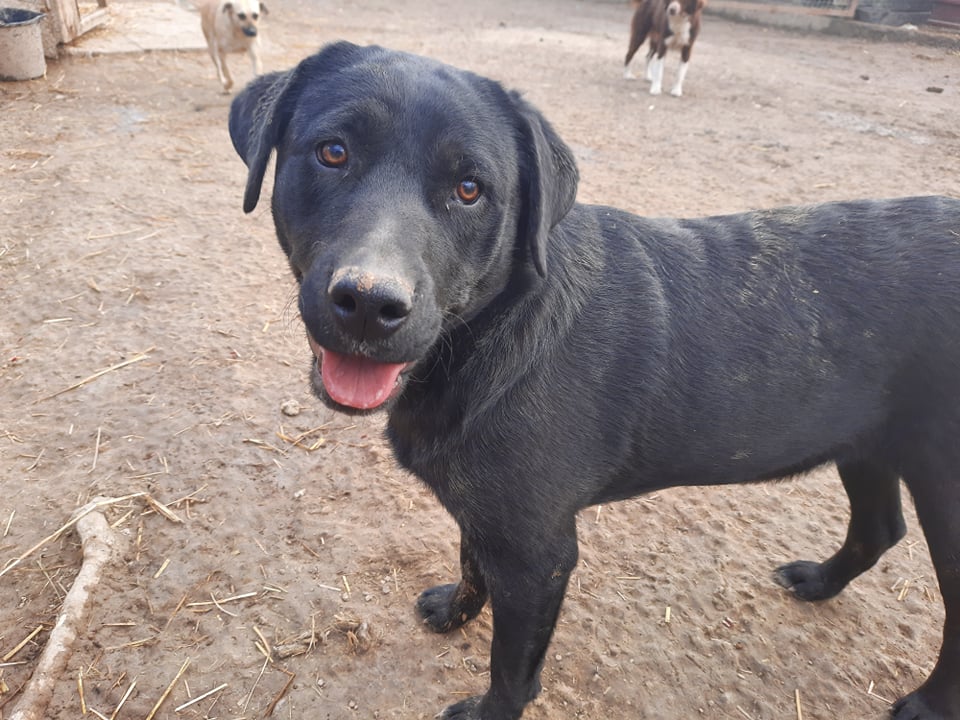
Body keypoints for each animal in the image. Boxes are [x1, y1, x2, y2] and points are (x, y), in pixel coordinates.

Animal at [231, 43, 960, 720]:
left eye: (470, 189)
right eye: (333, 152)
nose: (369, 303)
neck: (490, 334)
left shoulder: (539, 555)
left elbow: (511, 666)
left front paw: (492, 709)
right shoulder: (487, 515)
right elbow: (470, 564)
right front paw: (457, 610)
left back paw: (929, 702)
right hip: (868, 446)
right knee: (879, 529)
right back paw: (820, 582)